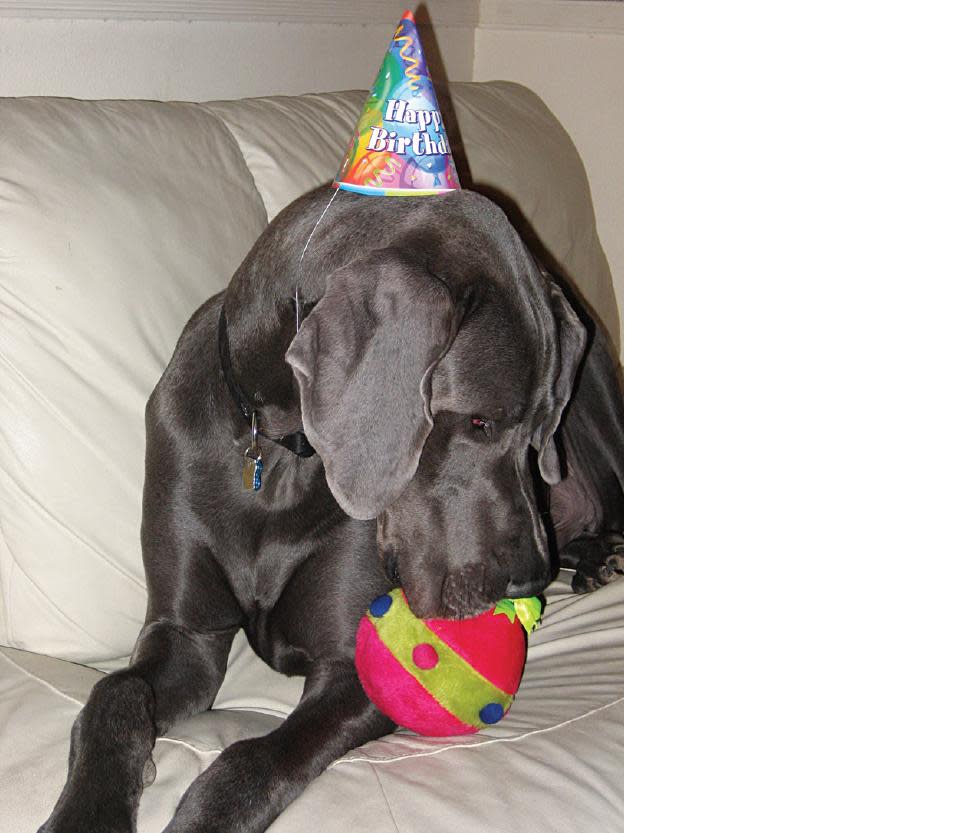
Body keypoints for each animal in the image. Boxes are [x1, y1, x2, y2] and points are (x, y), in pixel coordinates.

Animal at [39, 188, 624, 832]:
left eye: (544, 426)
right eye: (477, 421)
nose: (529, 579)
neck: (278, 444)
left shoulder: (353, 667)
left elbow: (253, 757)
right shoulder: (186, 633)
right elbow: (111, 695)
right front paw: (83, 814)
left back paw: (600, 558)